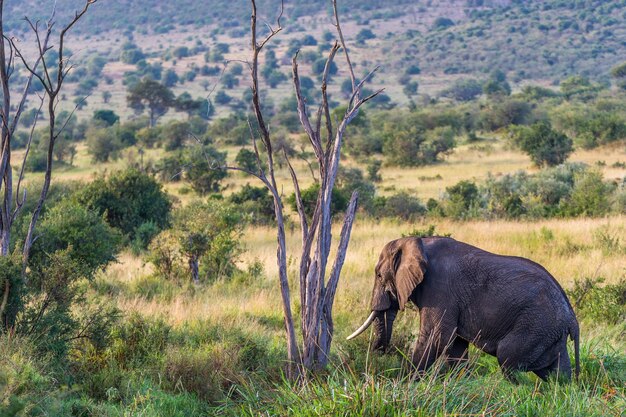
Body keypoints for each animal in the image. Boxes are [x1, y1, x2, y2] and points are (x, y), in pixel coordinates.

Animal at [344, 236, 576, 378]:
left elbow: (436, 337)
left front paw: (404, 383)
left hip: (537, 324)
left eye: (378, 275)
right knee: (557, 373)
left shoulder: (440, 288)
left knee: (507, 357)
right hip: (548, 331)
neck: (417, 241)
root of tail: (572, 318)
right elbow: (455, 344)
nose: (378, 352)